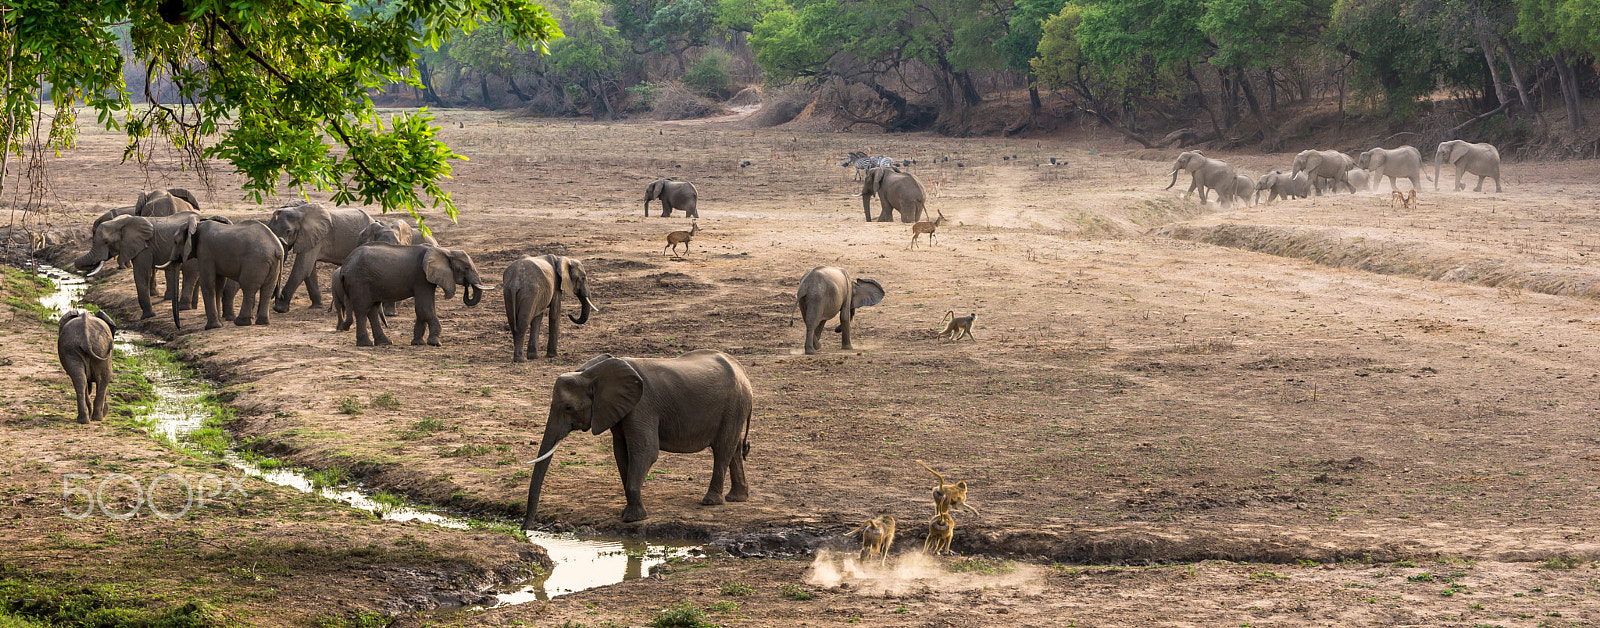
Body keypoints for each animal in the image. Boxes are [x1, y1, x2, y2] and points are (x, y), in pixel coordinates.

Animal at [332, 243, 488, 347]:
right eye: (466, 268)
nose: (467, 286)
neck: (445, 251)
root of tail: (344, 267)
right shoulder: (421, 277)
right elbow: (425, 307)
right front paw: (435, 343)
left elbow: (422, 309)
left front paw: (417, 343)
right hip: (359, 282)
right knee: (362, 310)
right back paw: (366, 344)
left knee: (373, 310)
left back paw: (384, 342)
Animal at [521, 350, 754, 526]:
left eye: (569, 407)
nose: (525, 530)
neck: (591, 373)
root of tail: (742, 370)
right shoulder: (618, 409)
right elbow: (621, 452)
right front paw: (629, 512)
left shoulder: (642, 406)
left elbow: (646, 450)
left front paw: (633, 519)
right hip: (735, 407)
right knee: (733, 449)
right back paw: (736, 498)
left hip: (734, 405)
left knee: (723, 448)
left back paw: (710, 502)